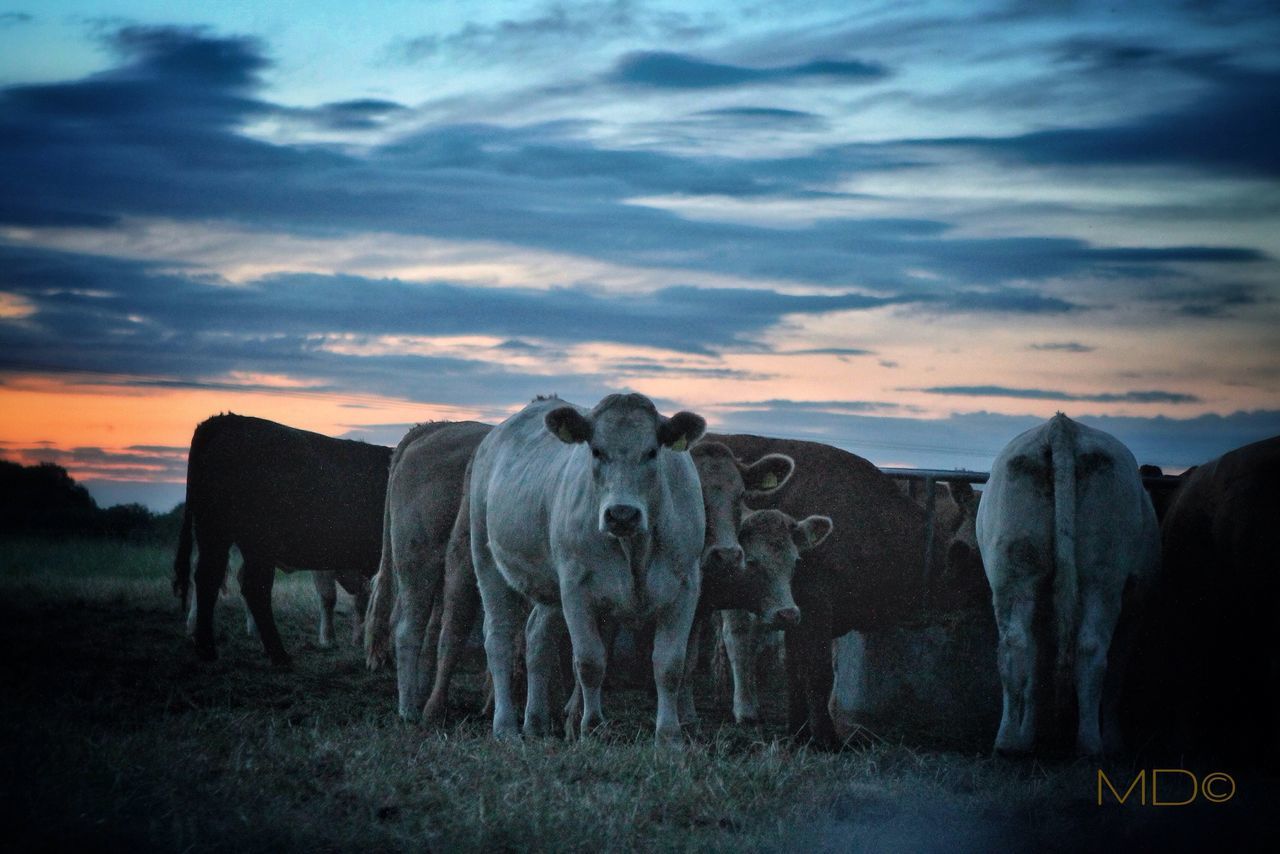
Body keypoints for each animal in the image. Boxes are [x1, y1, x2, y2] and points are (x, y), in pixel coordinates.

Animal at [172, 414, 389, 665]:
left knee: (209, 578)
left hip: (215, 534)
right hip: (254, 543)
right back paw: (278, 654)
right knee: (252, 587)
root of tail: (226, 420)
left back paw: (207, 648)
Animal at [473, 391, 711, 742]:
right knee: (499, 640)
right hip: (487, 560)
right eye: (596, 450)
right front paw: (591, 726)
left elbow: (669, 665)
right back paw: (505, 727)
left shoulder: (685, 587)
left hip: (550, 588)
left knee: (537, 639)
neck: (635, 547)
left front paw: (669, 737)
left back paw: (535, 722)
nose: (622, 514)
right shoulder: (576, 588)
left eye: (652, 451)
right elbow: (589, 662)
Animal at [977, 414, 1162, 752]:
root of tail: (1062, 426)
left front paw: (1028, 732)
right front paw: (1114, 739)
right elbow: (1116, 672)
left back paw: (1009, 741)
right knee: (1092, 648)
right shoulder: (1136, 608)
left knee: (1014, 645)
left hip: (1013, 569)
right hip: (1102, 574)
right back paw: (1090, 743)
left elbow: (1036, 667)